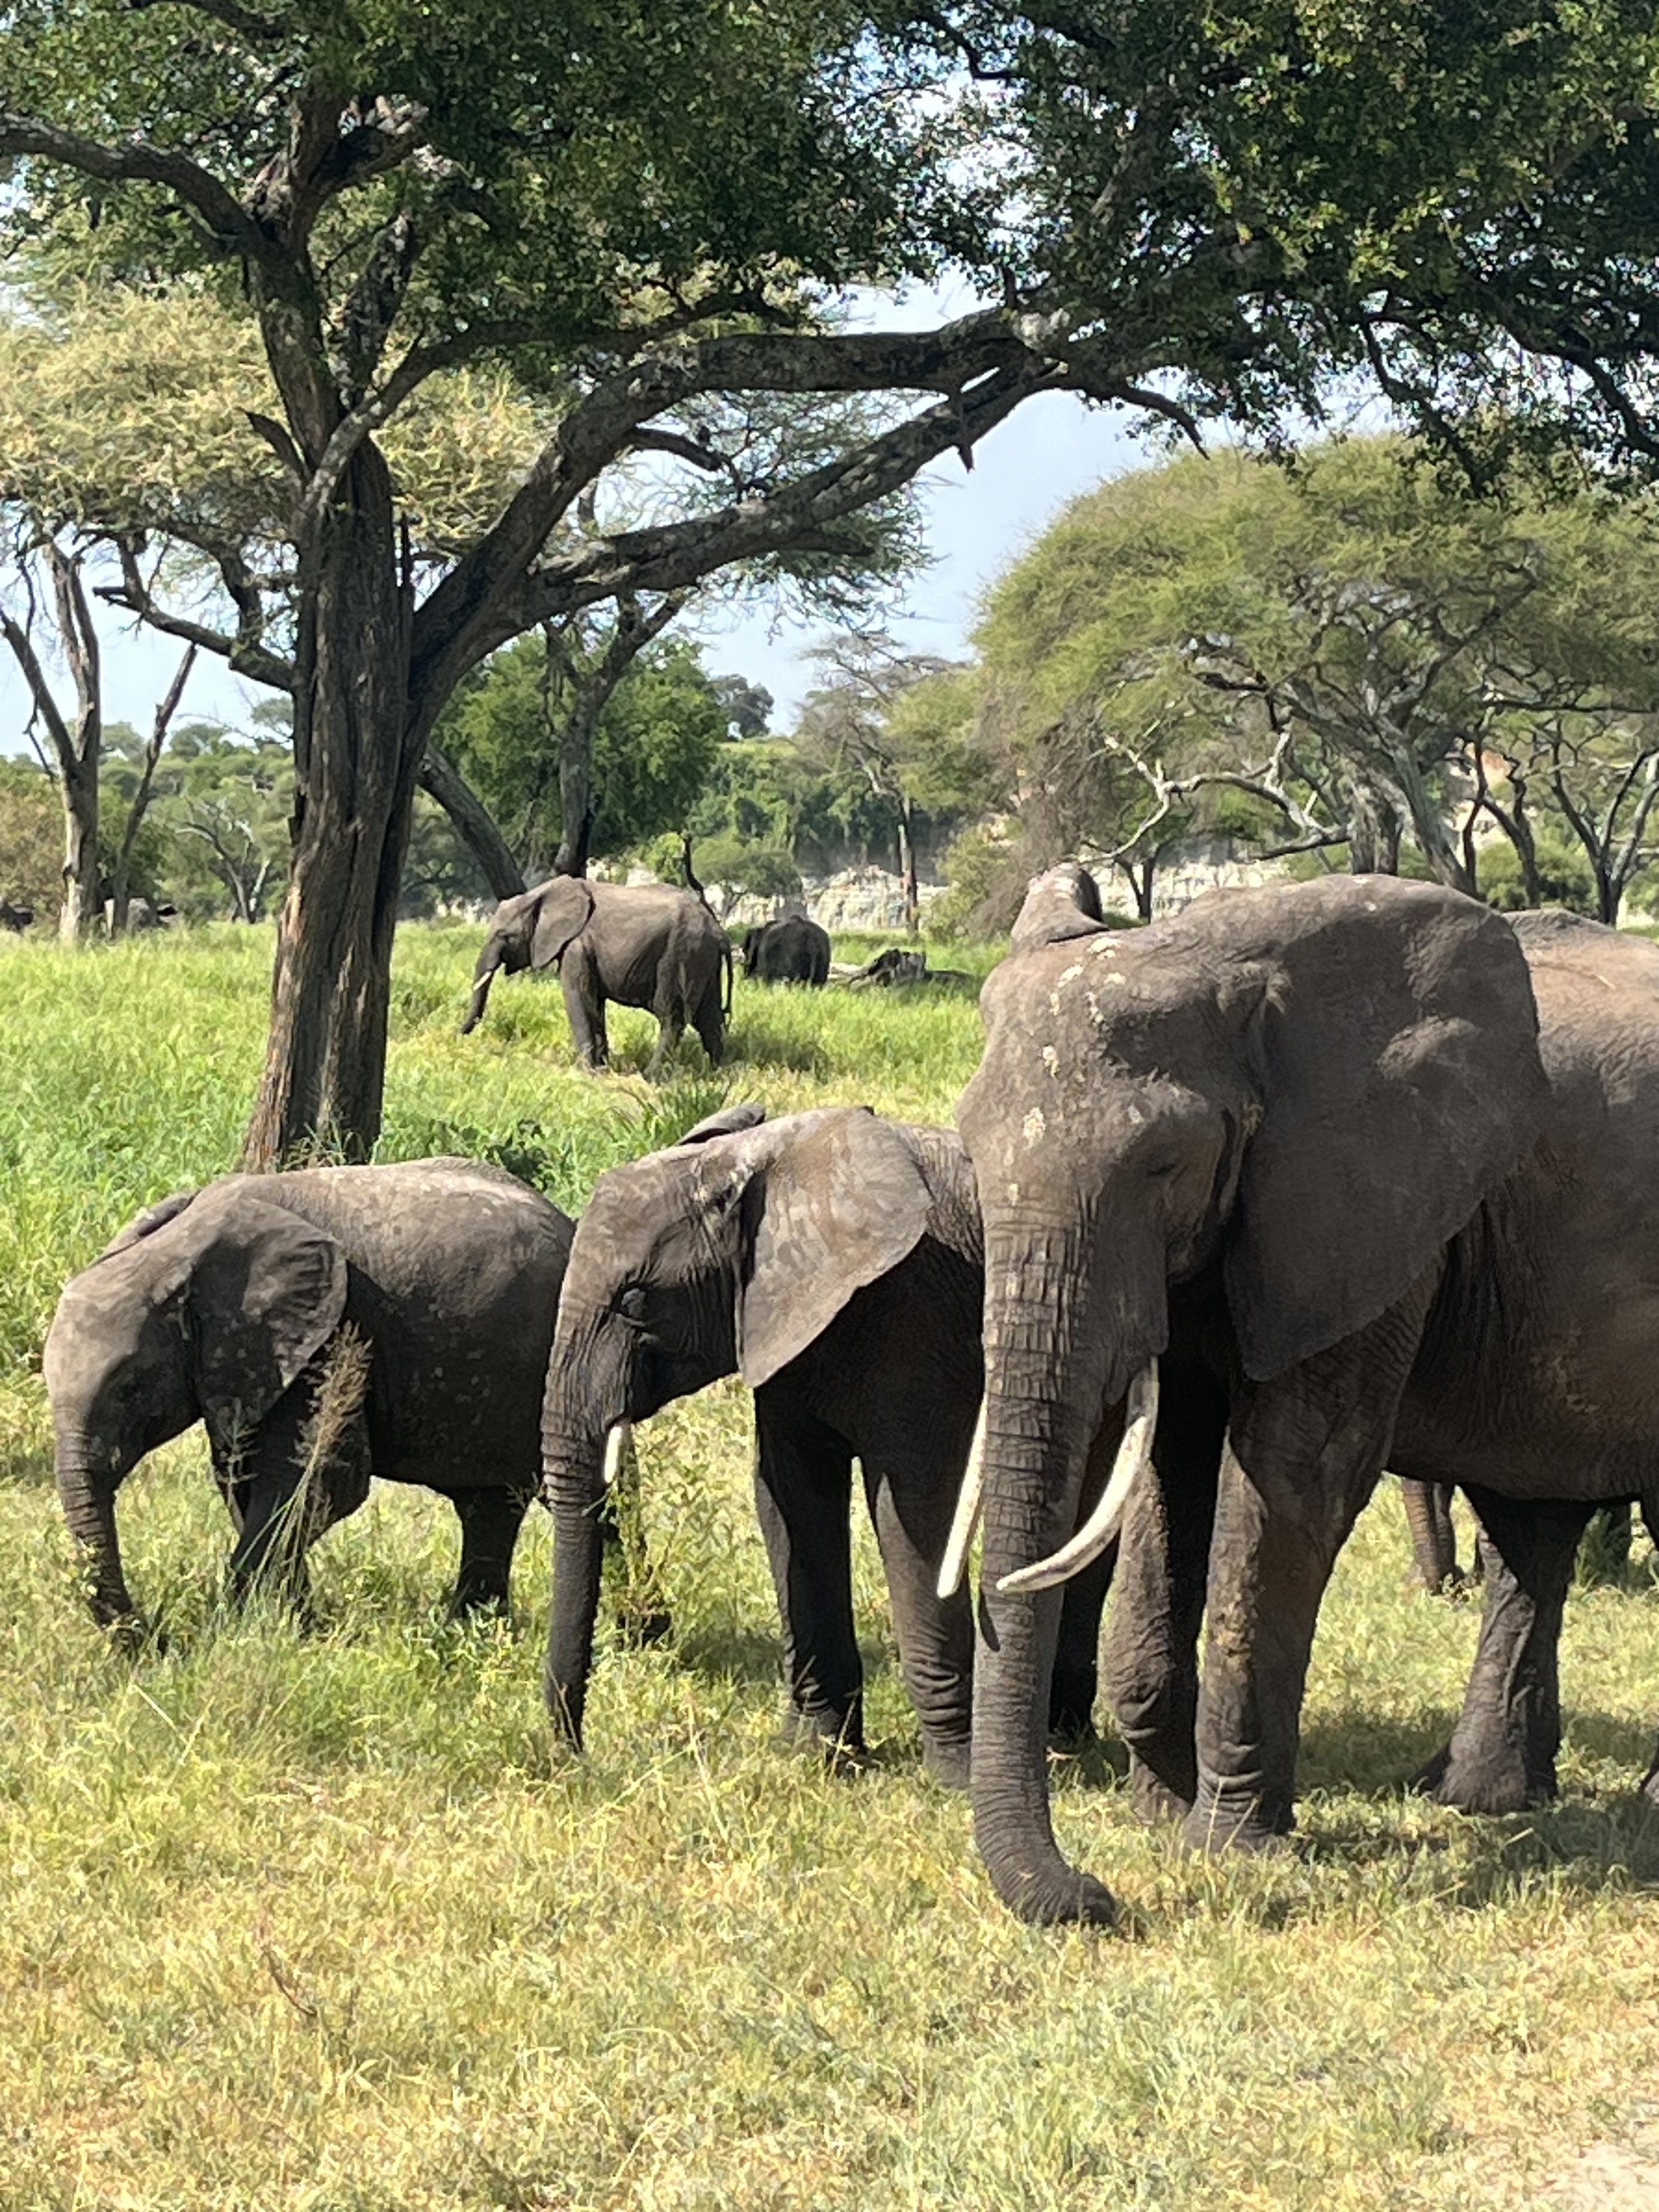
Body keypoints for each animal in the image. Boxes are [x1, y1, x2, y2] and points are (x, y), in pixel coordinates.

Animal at [44, 1159, 576, 1634]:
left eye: (131, 1389)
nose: (155, 1638)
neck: (177, 1250)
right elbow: (245, 1479)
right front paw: (296, 1626)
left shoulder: (331, 1332)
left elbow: (322, 1478)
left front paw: (236, 1628)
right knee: (490, 1505)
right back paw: (472, 1632)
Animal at [461, 877, 731, 1075]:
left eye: (505, 936)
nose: (459, 1035)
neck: (540, 894)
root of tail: (718, 930)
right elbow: (595, 1004)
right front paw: (602, 1070)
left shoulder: (576, 946)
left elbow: (578, 1000)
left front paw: (586, 1073)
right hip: (703, 959)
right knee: (709, 1017)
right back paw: (719, 1073)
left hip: (681, 952)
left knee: (671, 1015)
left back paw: (650, 1077)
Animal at [538, 1103, 1115, 1786]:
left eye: (634, 1300)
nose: (573, 1753)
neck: (750, 1164)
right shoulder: (781, 1329)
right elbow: (791, 1500)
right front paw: (818, 1754)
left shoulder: (912, 1312)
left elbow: (915, 1511)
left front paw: (955, 1776)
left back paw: (1059, 1737)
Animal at [950, 867, 1567, 1924]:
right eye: (969, 1155)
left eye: (1163, 1164)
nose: (1092, 1898)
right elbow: (1171, 1476)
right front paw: (1163, 1812)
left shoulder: (1369, 1213)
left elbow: (1291, 1477)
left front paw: (1228, 1848)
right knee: (1536, 1527)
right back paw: (1485, 1796)